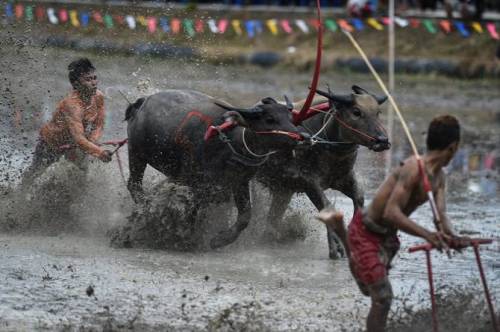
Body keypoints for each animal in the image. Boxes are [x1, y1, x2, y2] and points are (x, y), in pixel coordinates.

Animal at [125, 88, 308, 249]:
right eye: (270, 119)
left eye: (290, 117)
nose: (300, 136)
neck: (230, 143)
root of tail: (142, 103)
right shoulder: (192, 182)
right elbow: (189, 209)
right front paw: (186, 239)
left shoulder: (238, 182)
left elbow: (245, 216)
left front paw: (220, 240)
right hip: (136, 154)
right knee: (134, 185)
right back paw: (144, 209)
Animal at [258, 85, 390, 260]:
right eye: (356, 111)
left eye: (378, 112)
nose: (382, 140)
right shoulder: (309, 182)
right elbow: (327, 206)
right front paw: (335, 247)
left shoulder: (344, 179)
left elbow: (359, 199)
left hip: (283, 190)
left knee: (273, 218)